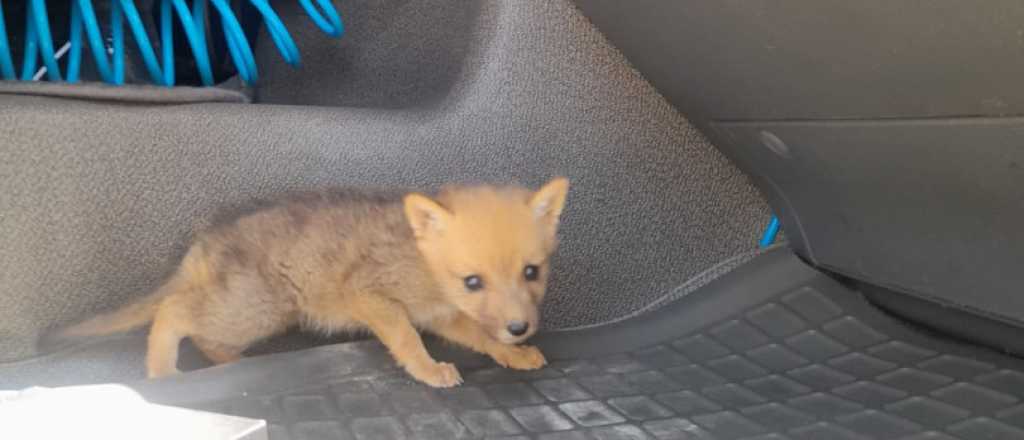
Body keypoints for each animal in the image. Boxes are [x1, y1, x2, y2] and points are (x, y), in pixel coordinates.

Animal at [45, 178, 570, 387]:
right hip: (256, 309)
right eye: (472, 281)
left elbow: (482, 338)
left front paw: (515, 354)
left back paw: (229, 364)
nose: (522, 327)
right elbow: (407, 342)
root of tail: (209, 239)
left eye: (532, 272)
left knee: (203, 332)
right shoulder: (373, 296)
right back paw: (161, 372)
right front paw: (429, 372)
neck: (424, 266)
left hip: (254, 313)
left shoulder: (444, 317)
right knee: (173, 311)